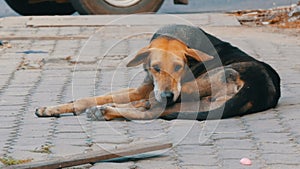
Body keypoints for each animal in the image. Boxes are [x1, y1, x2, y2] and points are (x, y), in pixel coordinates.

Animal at [35, 24, 282, 120]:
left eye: (179, 68)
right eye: (156, 68)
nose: (167, 95)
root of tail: (259, 88)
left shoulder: (148, 91)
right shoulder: (144, 89)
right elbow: (90, 98)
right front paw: (53, 108)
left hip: (199, 85)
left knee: (151, 109)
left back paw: (105, 111)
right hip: (195, 105)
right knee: (151, 110)